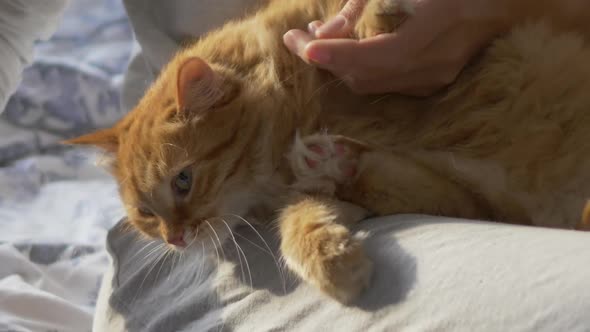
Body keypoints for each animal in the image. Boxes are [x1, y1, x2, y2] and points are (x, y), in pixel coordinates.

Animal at [67, 0, 590, 304]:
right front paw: (332, 260)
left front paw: (381, 11)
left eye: (183, 180)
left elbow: (357, 26)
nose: (176, 238)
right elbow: (301, 219)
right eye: (146, 213)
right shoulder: (471, 192)